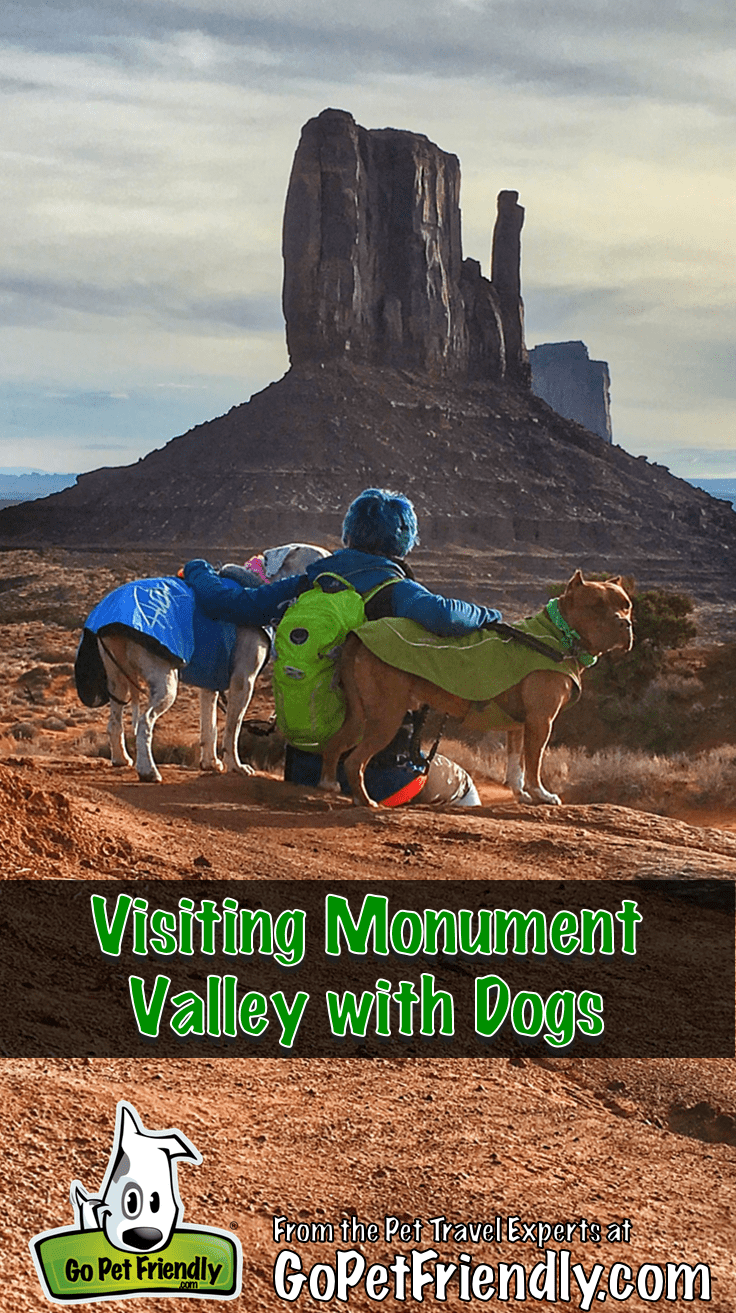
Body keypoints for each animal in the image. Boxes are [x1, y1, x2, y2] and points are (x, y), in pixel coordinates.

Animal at [89, 543, 326, 777]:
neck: (258, 582)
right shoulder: (244, 680)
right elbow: (233, 728)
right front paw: (236, 765)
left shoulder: (210, 683)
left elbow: (209, 725)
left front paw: (210, 763)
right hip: (164, 682)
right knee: (144, 721)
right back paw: (148, 770)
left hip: (117, 679)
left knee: (114, 722)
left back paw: (121, 758)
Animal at [320, 569, 632, 803]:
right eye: (596, 606)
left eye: (626, 606)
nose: (625, 625)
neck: (558, 633)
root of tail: (359, 635)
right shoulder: (541, 720)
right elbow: (535, 761)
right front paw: (541, 794)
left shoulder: (519, 724)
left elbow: (516, 762)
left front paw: (521, 793)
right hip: (386, 716)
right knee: (355, 761)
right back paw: (365, 800)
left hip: (360, 713)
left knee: (335, 744)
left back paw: (328, 784)